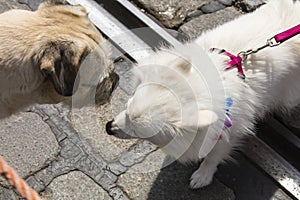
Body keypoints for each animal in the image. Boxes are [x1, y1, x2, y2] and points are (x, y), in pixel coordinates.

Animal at [106, 0, 300, 188]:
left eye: (138, 131)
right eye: (126, 107)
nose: (108, 127)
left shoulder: (230, 131)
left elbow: (214, 156)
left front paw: (203, 175)